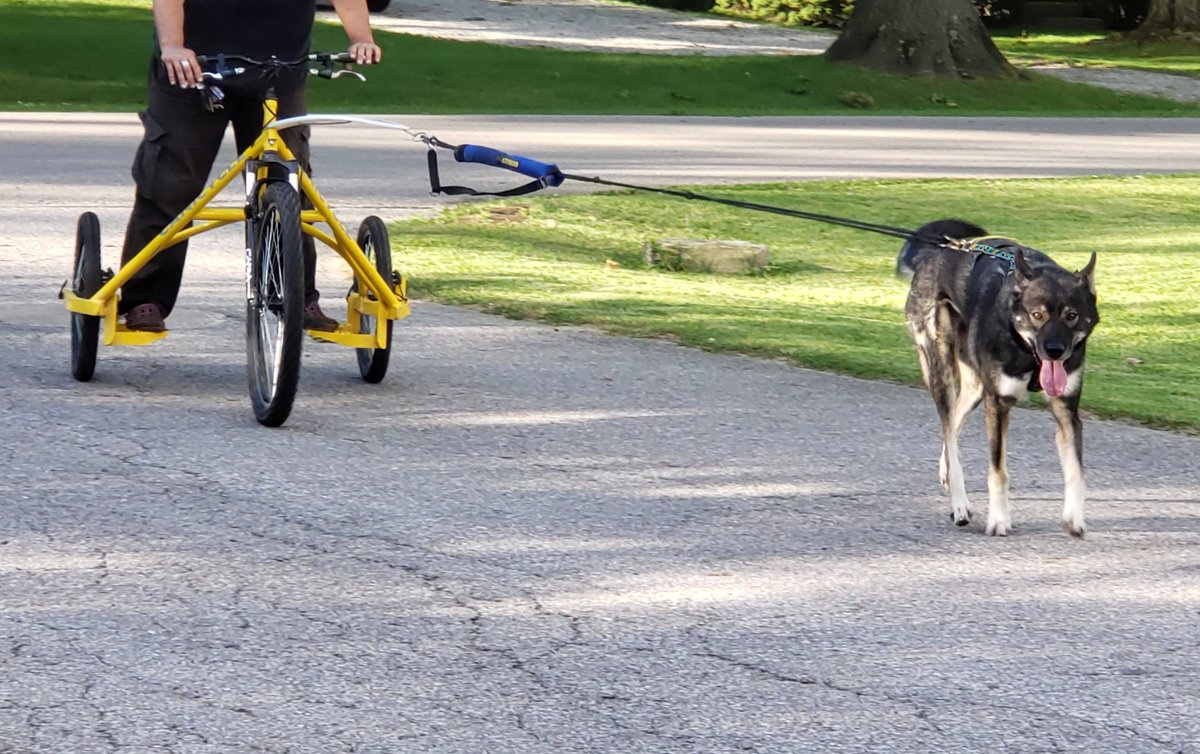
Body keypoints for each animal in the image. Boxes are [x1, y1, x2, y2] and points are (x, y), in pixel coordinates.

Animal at [902, 218, 1099, 535]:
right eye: (1037, 315)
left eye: (1072, 316)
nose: (1055, 351)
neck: (1028, 354)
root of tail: (934, 252)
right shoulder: (998, 403)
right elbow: (998, 471)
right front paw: (999, 519)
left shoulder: (1066, 409)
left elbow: (1075, 469)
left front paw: (1074, 517)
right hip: (941, 369)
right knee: (948, 428)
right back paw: (959, 504)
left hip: (975, 386)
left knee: (953, 425)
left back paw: (946, 470)